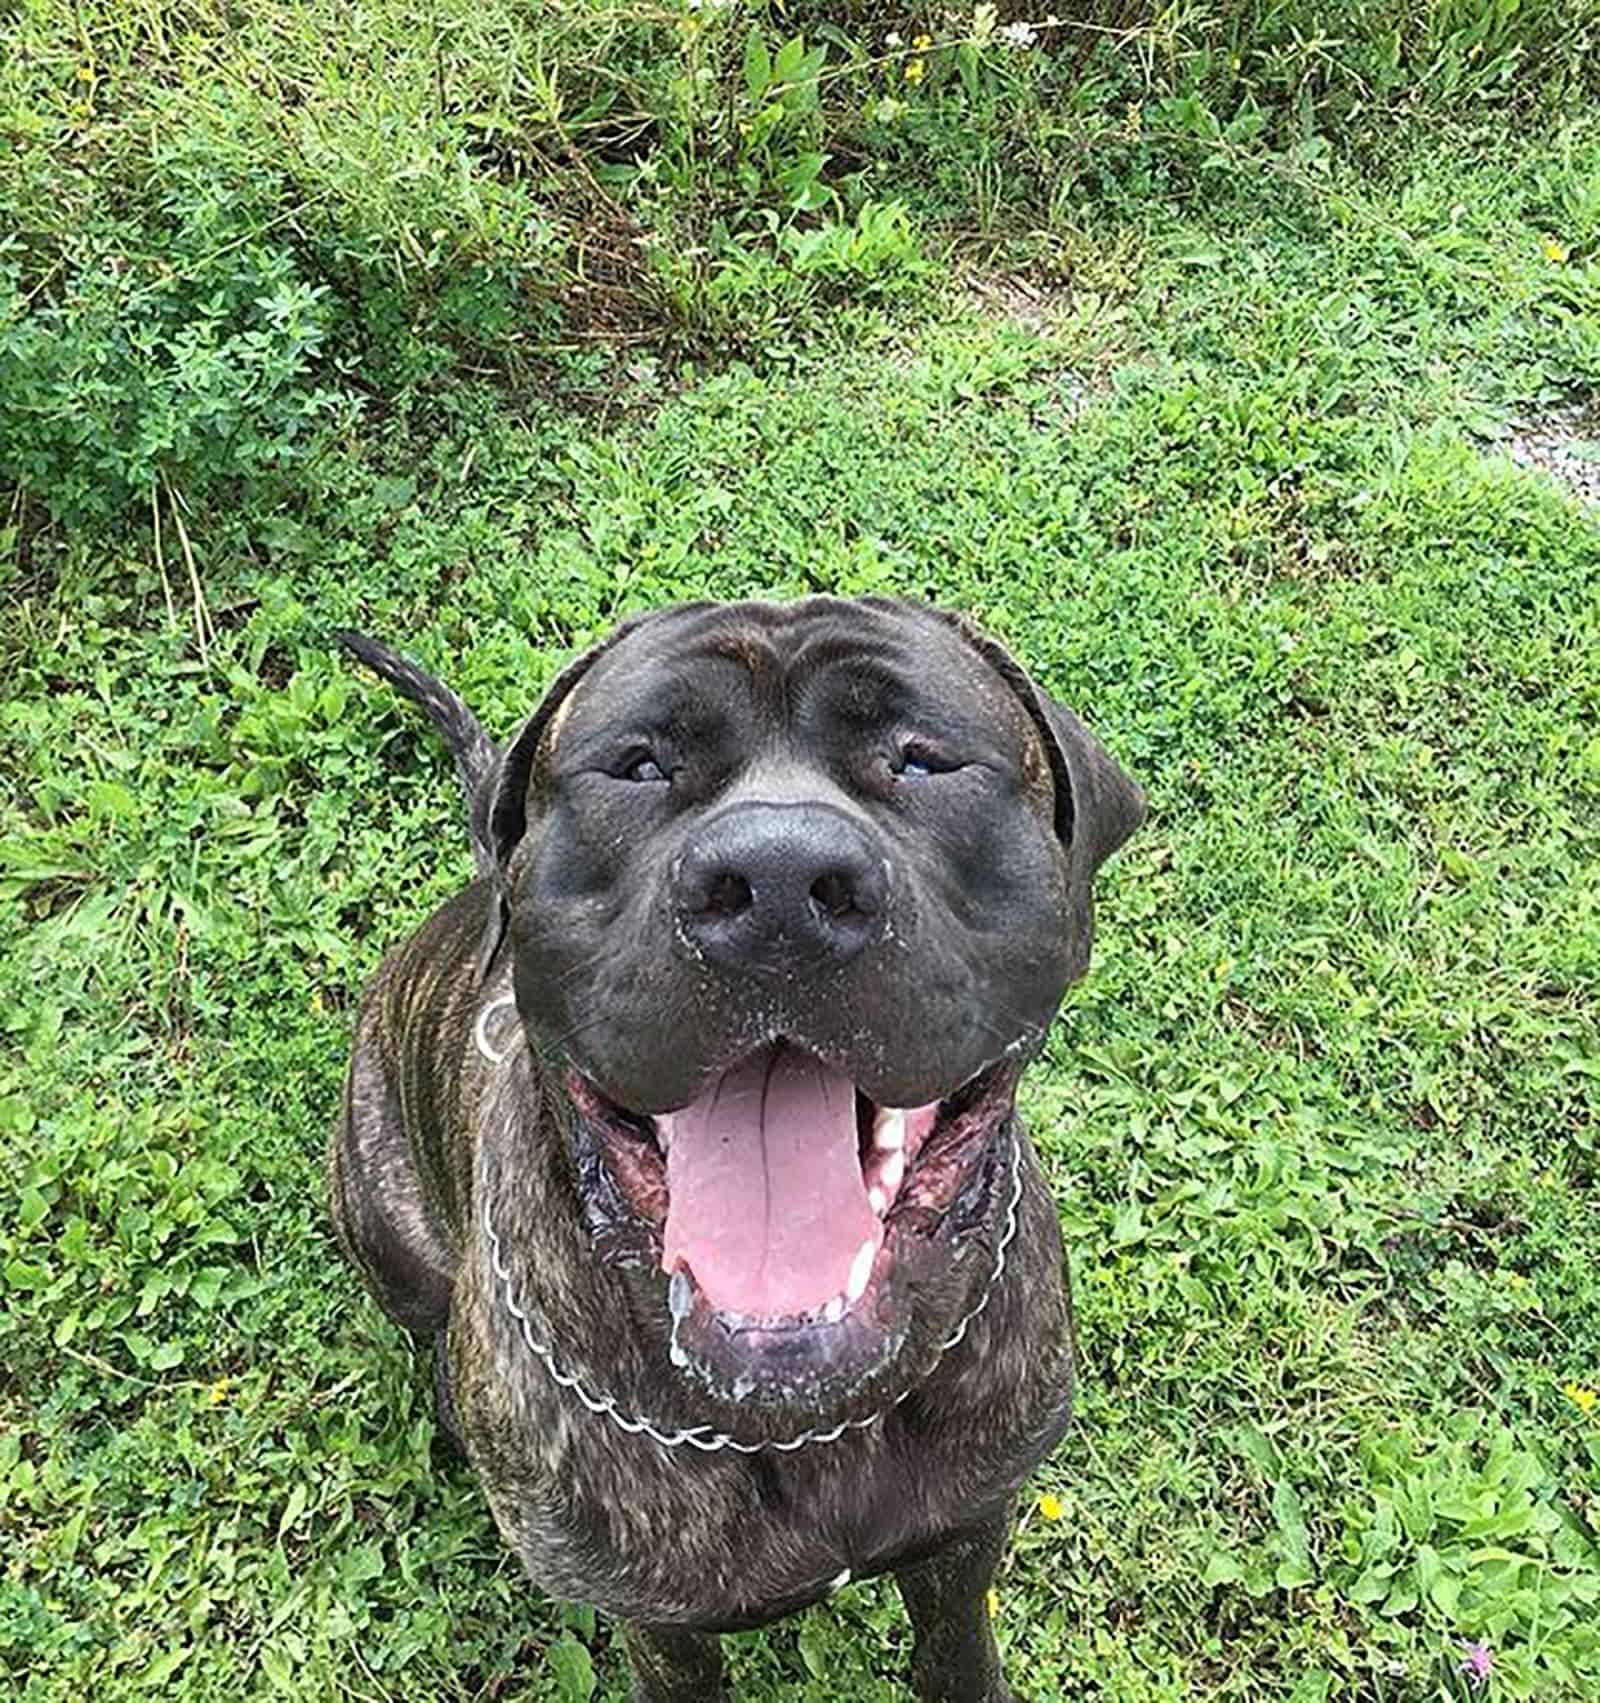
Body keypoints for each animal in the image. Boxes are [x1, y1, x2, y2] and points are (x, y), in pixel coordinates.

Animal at [331, 592, 1143, 1696]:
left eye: (923, 759)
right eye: (637, 765)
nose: (778, 878)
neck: (809, 1417)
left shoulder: (968, 1525)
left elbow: (955, 1650)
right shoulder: (659, 1620)